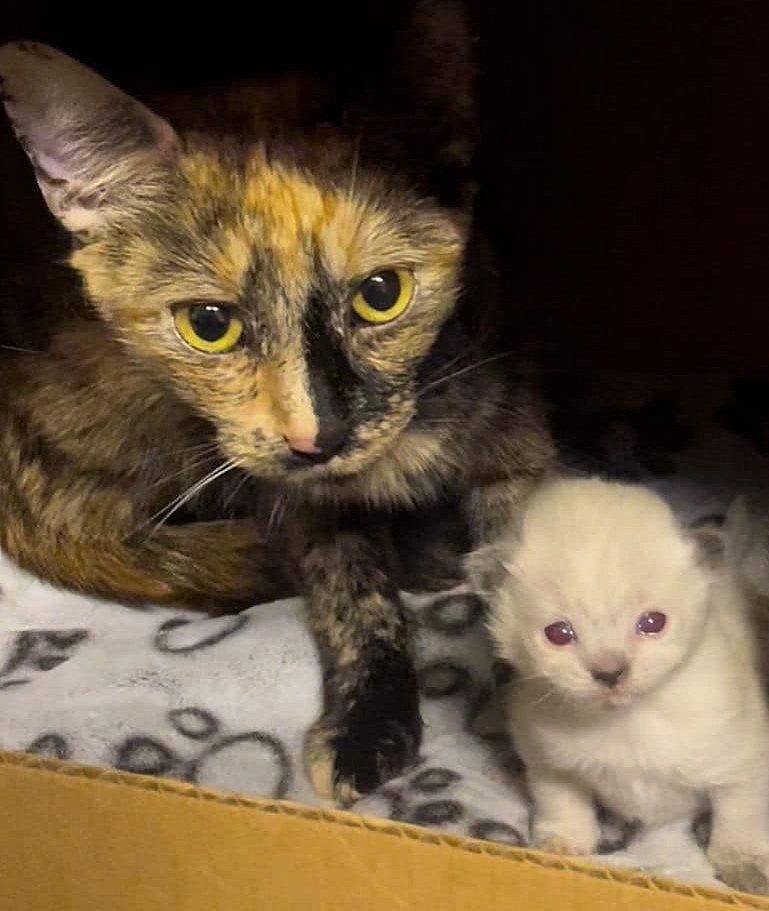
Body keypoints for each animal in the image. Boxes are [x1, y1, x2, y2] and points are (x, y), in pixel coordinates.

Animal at [0, 5, 552, 804]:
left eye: (381, 294)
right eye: (209, 323)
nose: (316, 438)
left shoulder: (517, 433)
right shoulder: (301, 508)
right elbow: (356, 595)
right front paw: (368, 724)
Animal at [484, 480, 768, 896]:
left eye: (652, 622)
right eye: (559, 633)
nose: (610, 673)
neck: (626, 722)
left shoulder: (745, 759)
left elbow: (740, 817)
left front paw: (747, 869)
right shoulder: (547, 762)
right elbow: (561, 803)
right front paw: (559, 847)